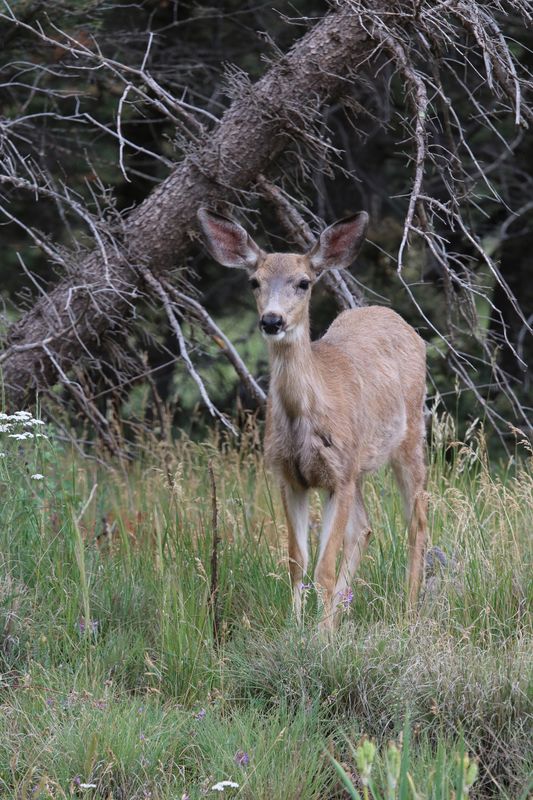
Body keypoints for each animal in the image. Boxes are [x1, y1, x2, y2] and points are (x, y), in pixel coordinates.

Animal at [197, 208, 426, 632]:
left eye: (303, 283)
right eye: (254, 281)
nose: (272, 320)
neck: (303, 417)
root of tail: (390, 314)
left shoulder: (338, 477)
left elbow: (323, 567)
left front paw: (320, 636)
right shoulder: (290, 477)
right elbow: (296, 561)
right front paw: (298, 626)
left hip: (410, 437)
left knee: (416, 521)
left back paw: (408, 612)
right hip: (358, 466)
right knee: (365, 526)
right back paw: (342, 611)